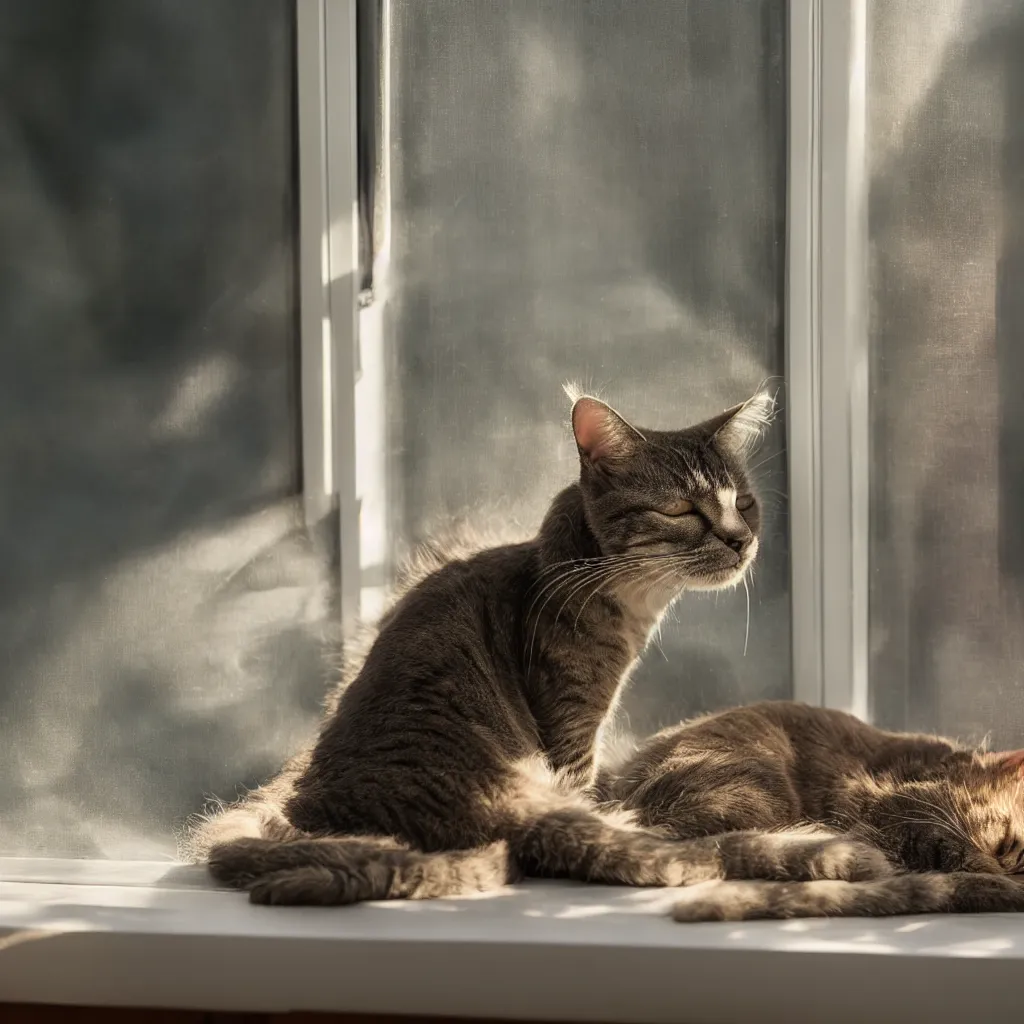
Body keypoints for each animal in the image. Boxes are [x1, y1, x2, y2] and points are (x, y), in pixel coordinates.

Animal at [193, 385, 897, 905]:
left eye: (744, 503)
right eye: (682, 510)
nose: (740, 540)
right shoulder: (573, 722)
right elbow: (590, 784)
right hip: (521, 790)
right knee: (631, 852)